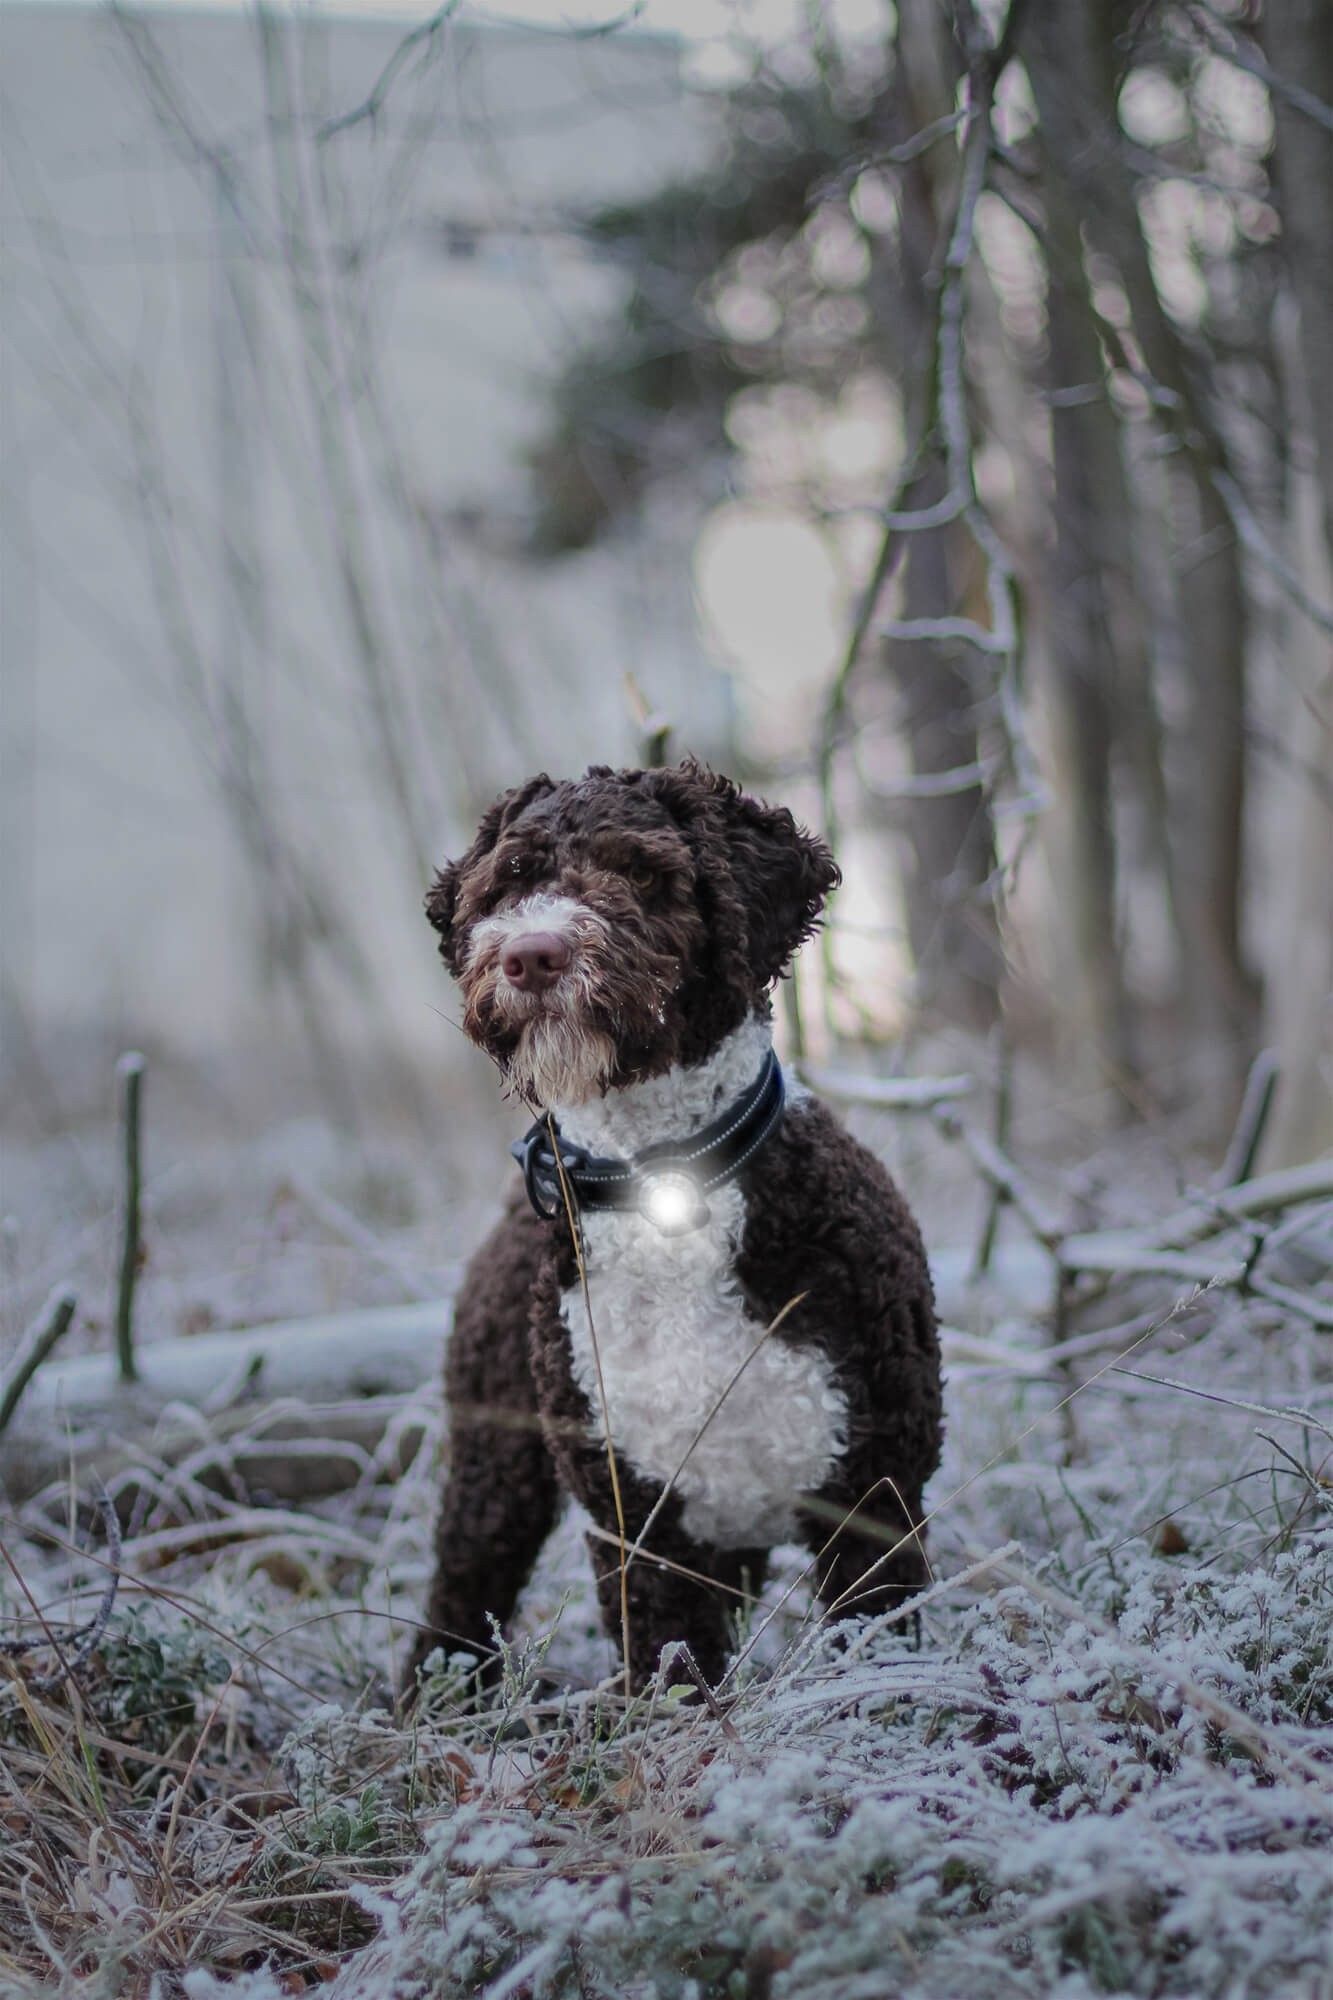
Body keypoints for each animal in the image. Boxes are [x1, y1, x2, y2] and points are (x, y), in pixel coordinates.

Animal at [402, 756, 932, 1696]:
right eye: (510, 879)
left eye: (644, 874)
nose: (531, 954)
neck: (664, 1187)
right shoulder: (639, 1520)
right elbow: (669, 1666)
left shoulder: (874, 1495)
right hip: (494, 1463)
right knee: (463, 1585)